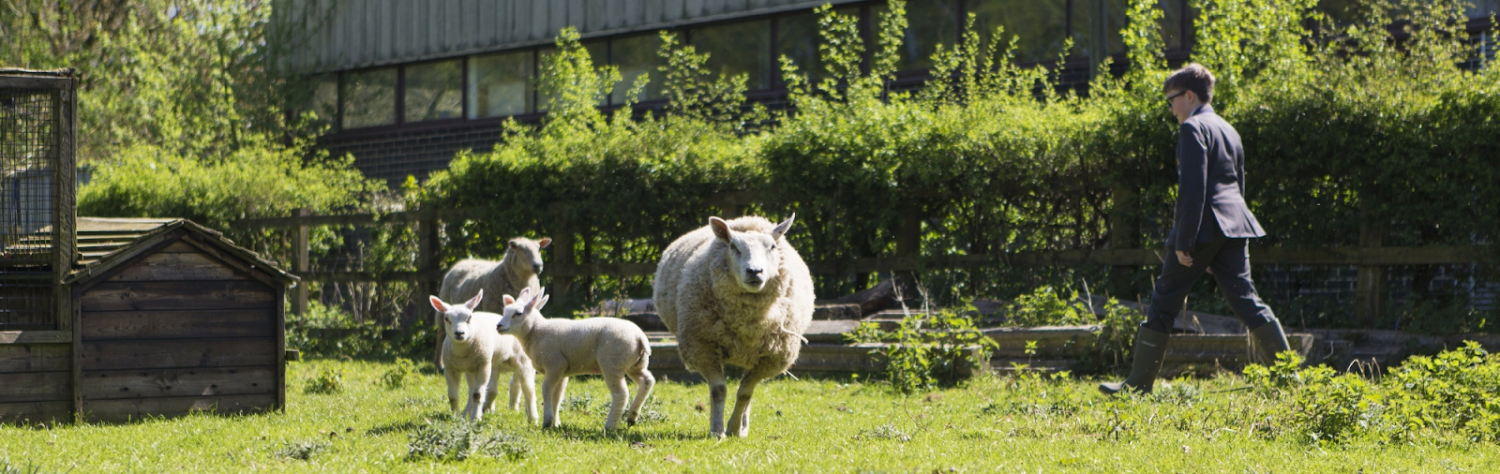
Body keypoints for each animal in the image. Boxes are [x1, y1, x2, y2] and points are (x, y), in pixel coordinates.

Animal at [429, 291, 540, 423]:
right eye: (446, 319)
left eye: (469, 318)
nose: (460, 333)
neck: (462, 352)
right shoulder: (450, 369)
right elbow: (453, 396)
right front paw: (457, 418)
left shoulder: (484, 366)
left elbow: (478, 394)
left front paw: (475, 419)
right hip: (475, 368)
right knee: (471, 390)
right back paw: (467, 412)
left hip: (522, 361)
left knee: (528, 389)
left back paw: (533, 418)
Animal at [435, 237, 552, 370]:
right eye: (521, 249)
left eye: (538, 249)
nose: (538, 265)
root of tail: (463, 261)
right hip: (443, 307)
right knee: (440, 334)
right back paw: (439, 363)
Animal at [495, 286, 654, 432]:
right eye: (505, 311)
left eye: (518, 313)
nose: (498, 326)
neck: (536, 331)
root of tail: (640, 337)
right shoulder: (562, 371)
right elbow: (557, 396)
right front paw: (556, 423)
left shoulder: (555, 364)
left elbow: (546, 389)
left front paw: (547, 420)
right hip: (635, 363)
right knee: (647, 381)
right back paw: (632, 416)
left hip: (612, 362)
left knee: (621, 393)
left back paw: (610, 426)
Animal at [654, 214, 816, 438]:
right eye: (733, 246)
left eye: (772, 246)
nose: (754, 271)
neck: (746, 320)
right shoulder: (702, 347)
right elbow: (718, 390)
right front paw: (717, 430)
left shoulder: (769, 357)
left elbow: (746, 393)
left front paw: (734, 428)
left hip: (753, 353)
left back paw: (743, 426)